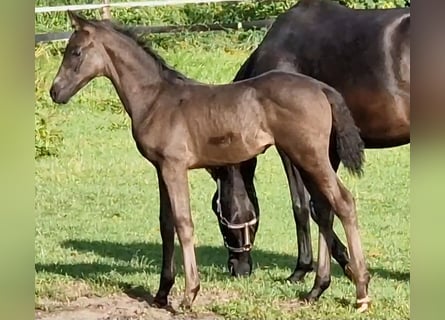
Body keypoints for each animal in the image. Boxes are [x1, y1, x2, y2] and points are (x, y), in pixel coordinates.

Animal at [49, 10, 368, 312]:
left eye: (75, 52)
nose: (55, 91)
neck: (156, 100)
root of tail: (322, 89)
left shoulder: (174, 166)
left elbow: (183, 223)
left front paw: (189, 294)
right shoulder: (160, 169)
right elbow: (166, 225)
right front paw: (162, 293)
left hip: (309, 155)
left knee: (344, 202)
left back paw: (362, 291)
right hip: (307, 159)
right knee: (325, 209)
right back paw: (317, 289)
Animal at [214, 0, 410, 292]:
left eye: (217, 211)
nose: (236, 268)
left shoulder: (291, 147)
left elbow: (303, 205)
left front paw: (303, 269)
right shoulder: (327, 151)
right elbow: (324, 205)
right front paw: (347, 266)